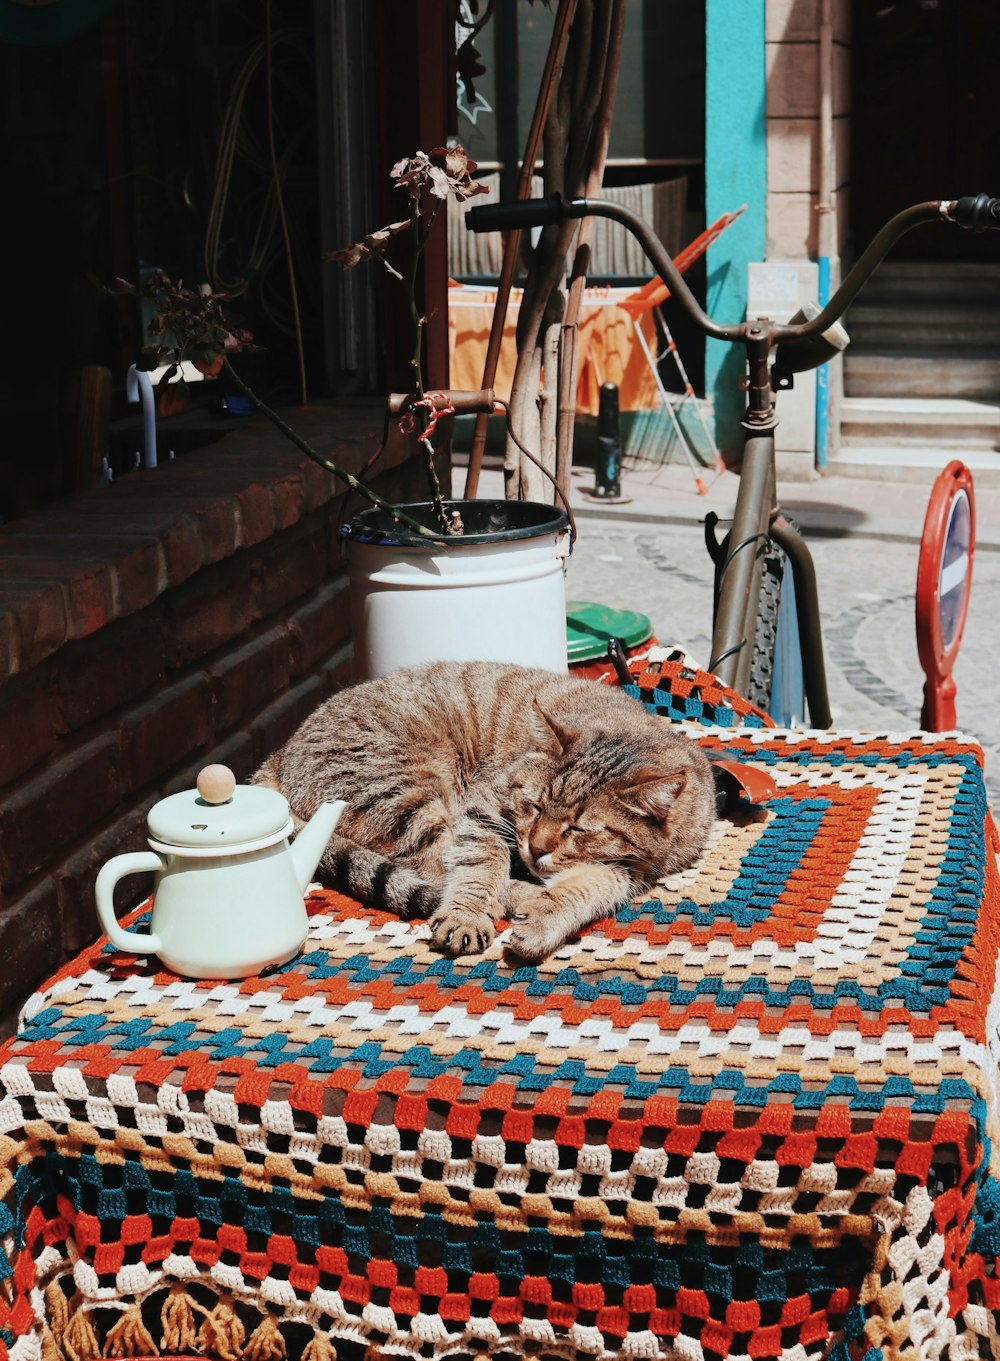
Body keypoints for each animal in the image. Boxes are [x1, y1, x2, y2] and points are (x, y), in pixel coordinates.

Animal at [254, 661, 718, 963]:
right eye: (534, 805)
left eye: (578, 829)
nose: (536, 848)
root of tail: (279, 754)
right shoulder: (484, 806)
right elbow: (480, 865)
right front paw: (469, 913)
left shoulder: (630, 869)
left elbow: (591, 887)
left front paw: (544, 917)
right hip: (404, 793)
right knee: (435, 867)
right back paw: (510, 896)